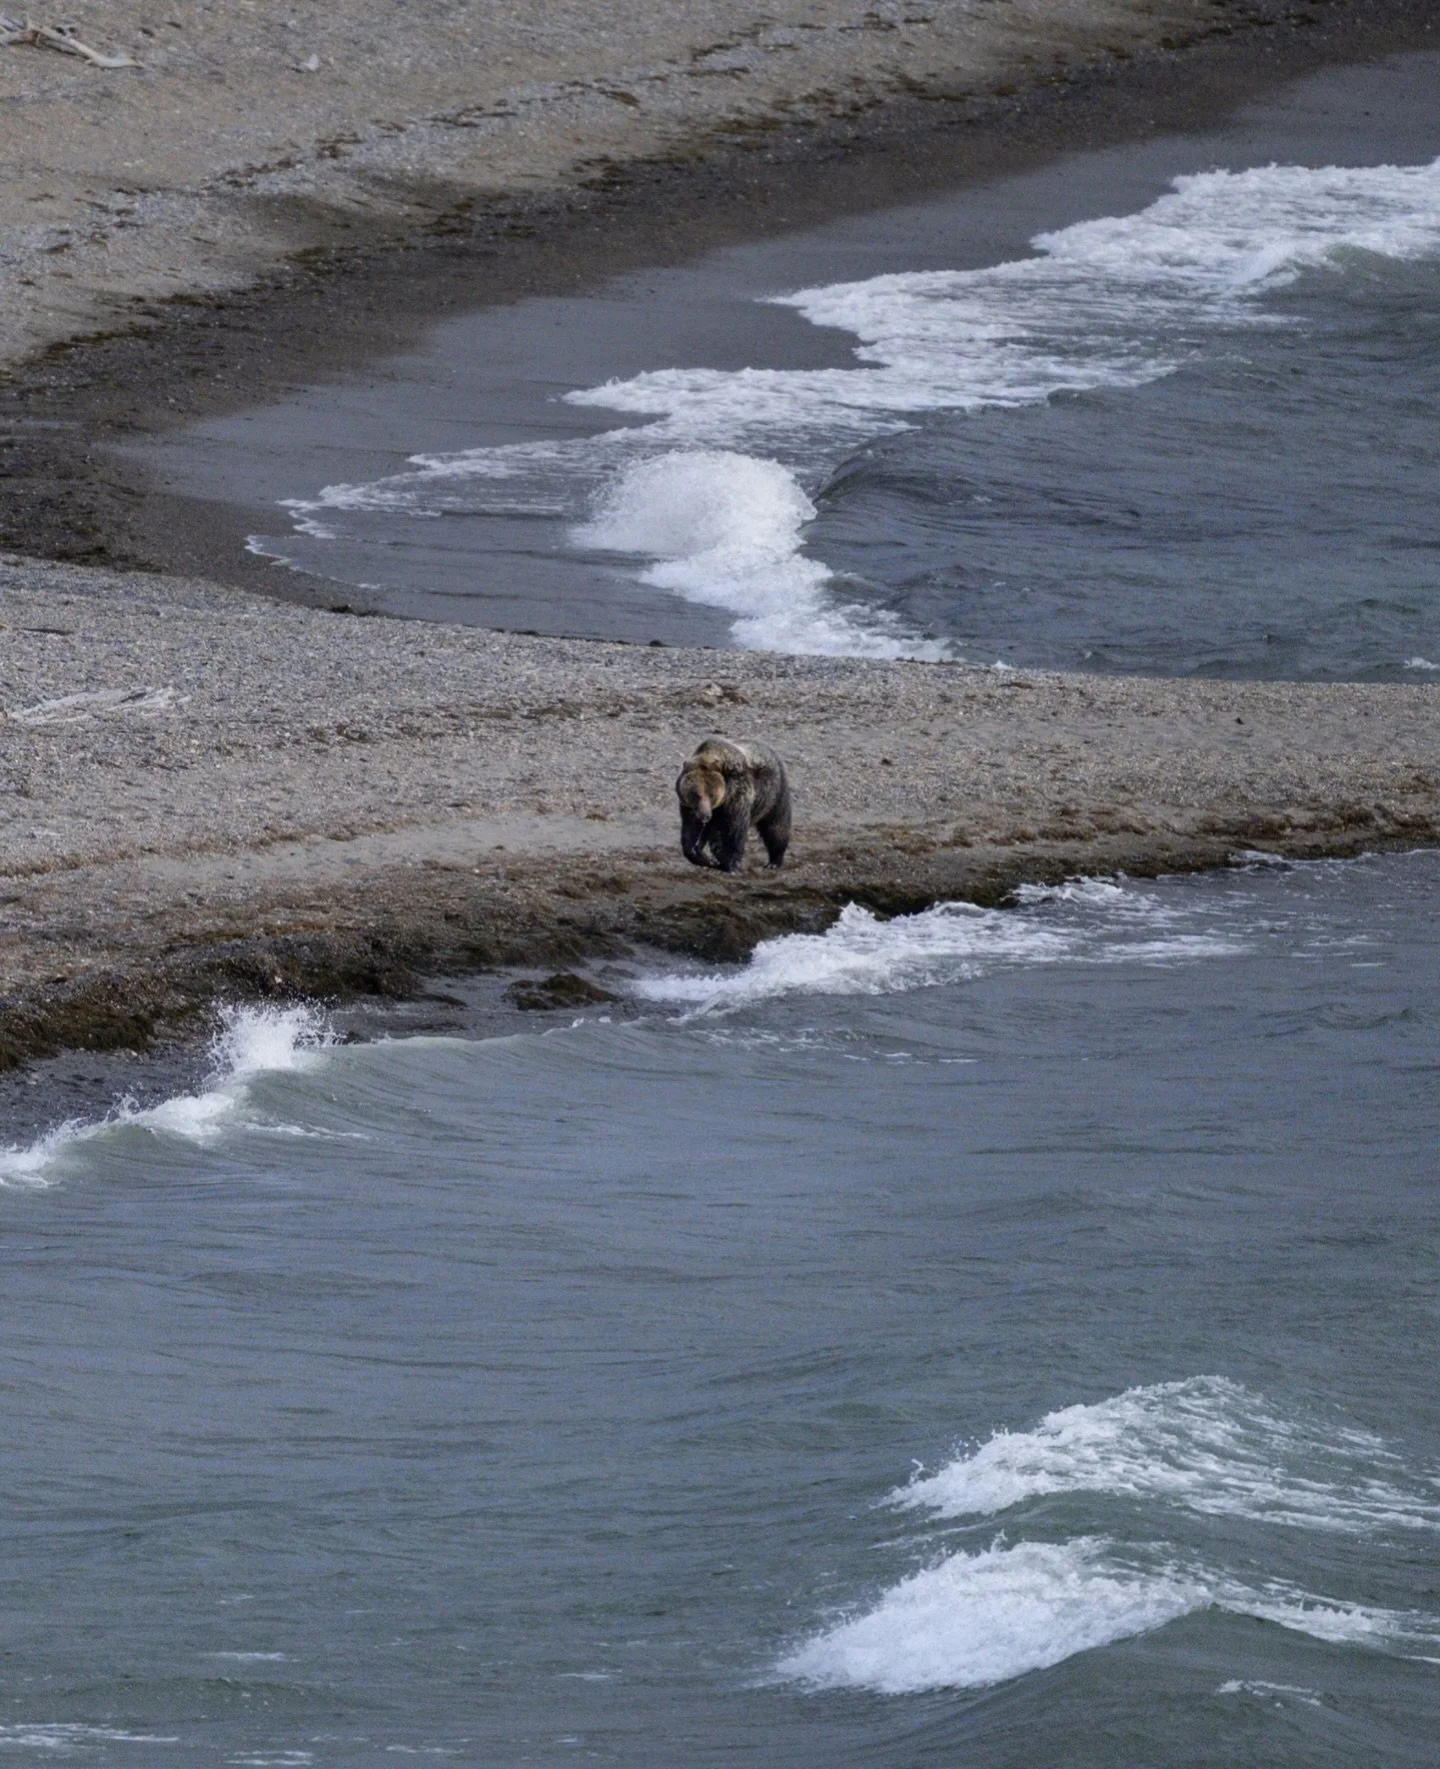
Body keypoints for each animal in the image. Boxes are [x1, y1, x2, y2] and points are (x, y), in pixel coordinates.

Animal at [676, 736, 791, 872]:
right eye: (696, 795)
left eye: (712, 795)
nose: (705, 815)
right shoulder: (690, 807)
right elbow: (691, 828)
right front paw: (701, 856)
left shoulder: (736, 795)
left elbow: (733, 829)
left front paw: (731, 864)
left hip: (774, 796)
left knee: (776, 827)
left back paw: (774, 861)